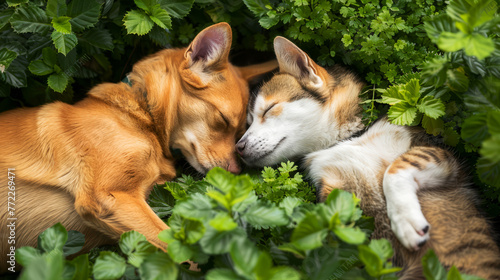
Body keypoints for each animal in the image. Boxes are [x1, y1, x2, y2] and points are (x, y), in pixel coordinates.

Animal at [0, 23, 276, 272]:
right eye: (222, 119)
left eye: (240, 131)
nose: (237, 173)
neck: (141, 118)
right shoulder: (114, 198)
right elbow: (187, 257)